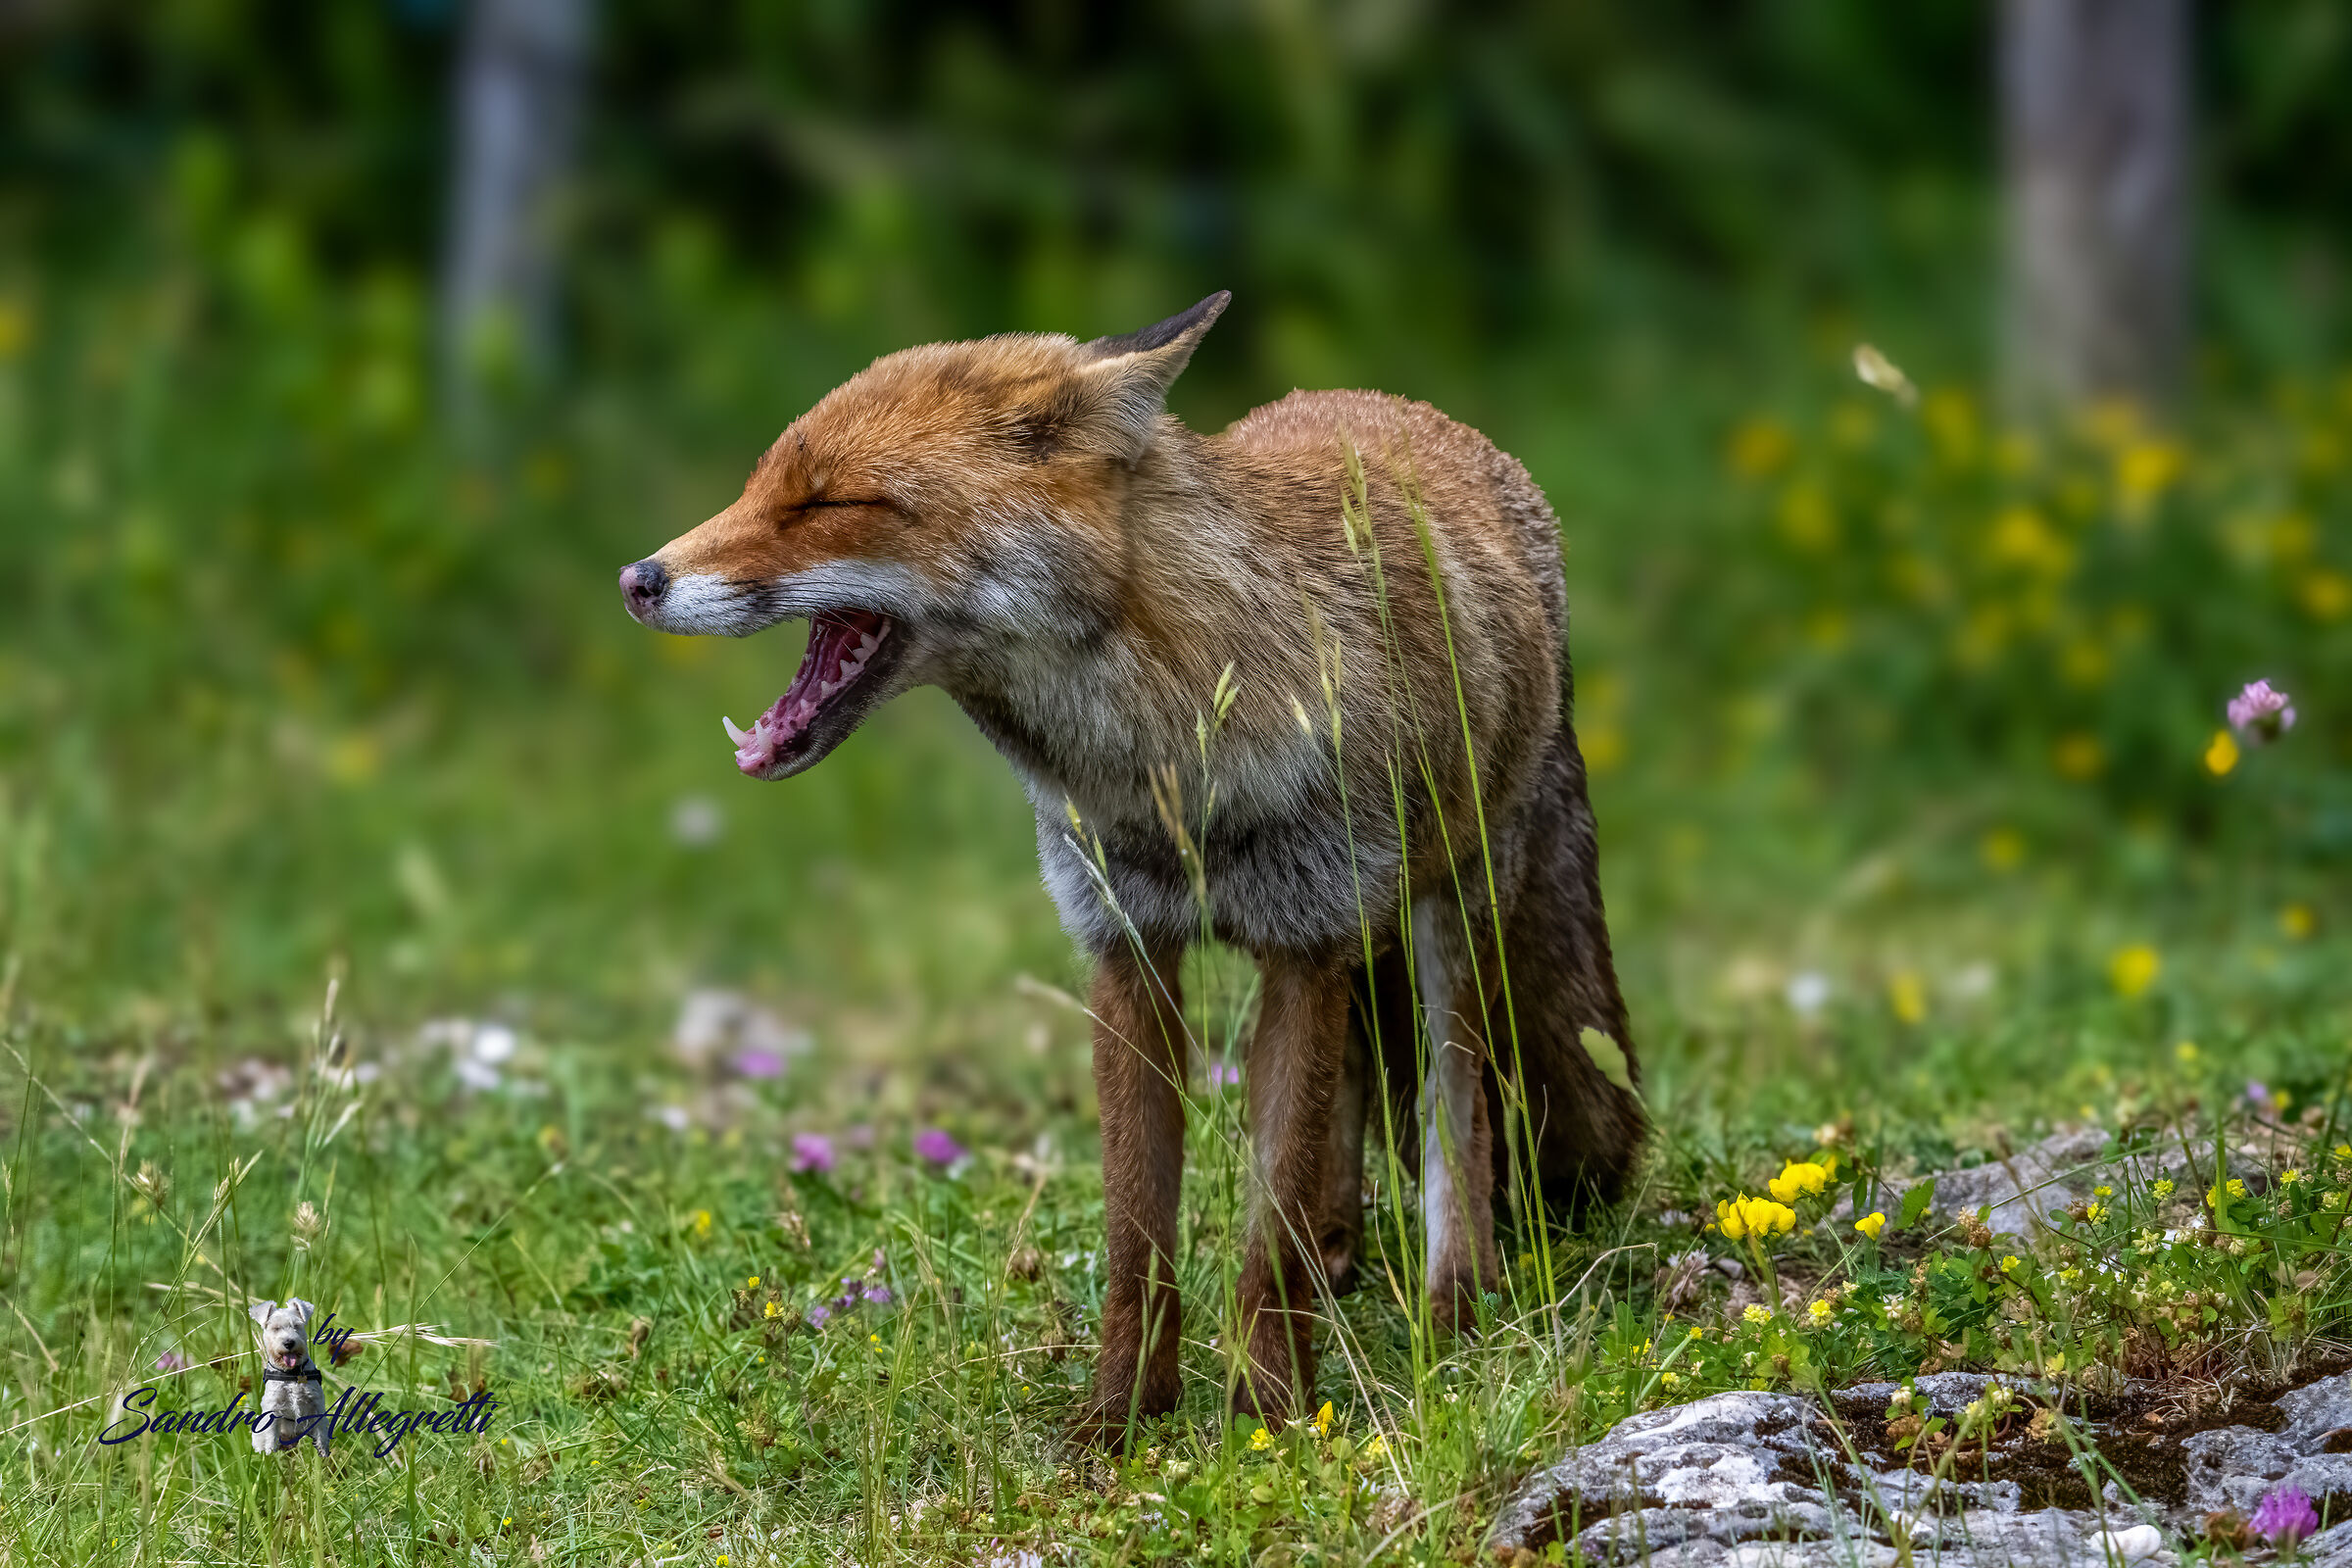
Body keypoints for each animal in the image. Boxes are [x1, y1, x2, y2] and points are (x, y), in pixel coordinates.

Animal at [619, 293, 1642, 1444]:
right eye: (760, 486)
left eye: (831, 501)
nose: (636, 580)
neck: (1171, 757)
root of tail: (1398, 405)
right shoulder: (1126, 947)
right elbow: (1137, 1237)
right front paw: (1118, 1426)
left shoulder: (1307, 941)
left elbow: (1267, 1233)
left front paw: (1268, 1417)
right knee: (1340, 1125)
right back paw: (1338, 1262)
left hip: (1450, 918)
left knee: (1453, 1111)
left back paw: (1453, 1308)